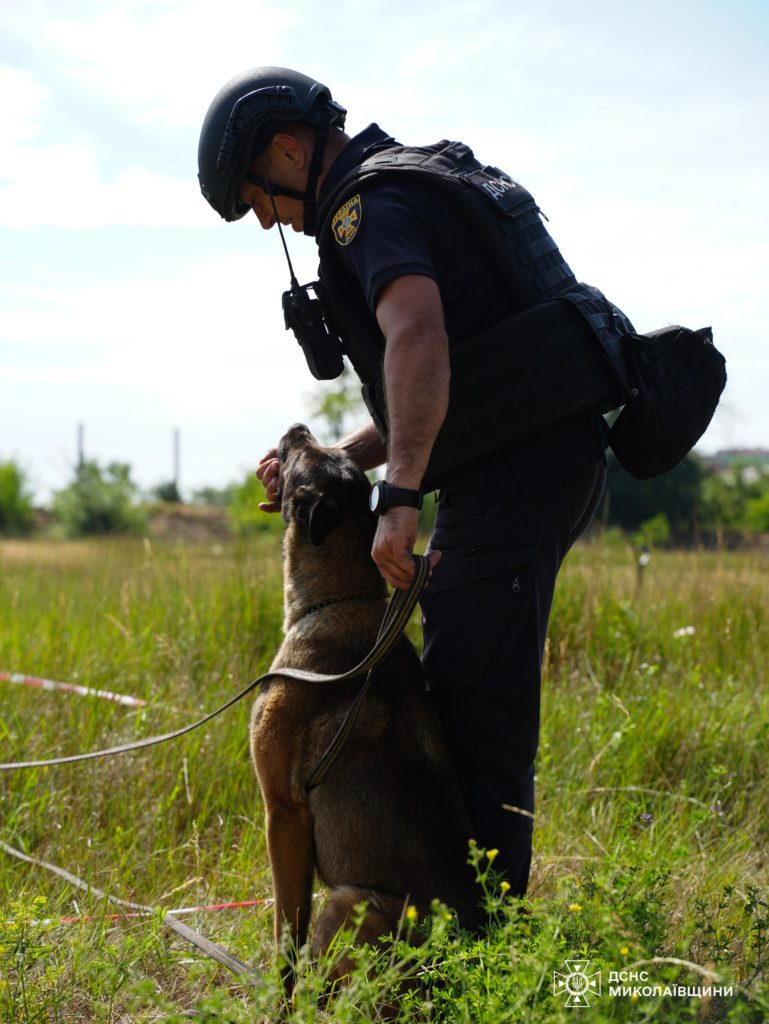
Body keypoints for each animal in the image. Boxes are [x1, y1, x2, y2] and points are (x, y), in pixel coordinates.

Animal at [250, 423, 481, 991]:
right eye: (321, 447)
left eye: (304, 452)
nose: (296, 428)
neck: (342, 599)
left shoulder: (283, 812)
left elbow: (286, 933)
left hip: (348, 901)